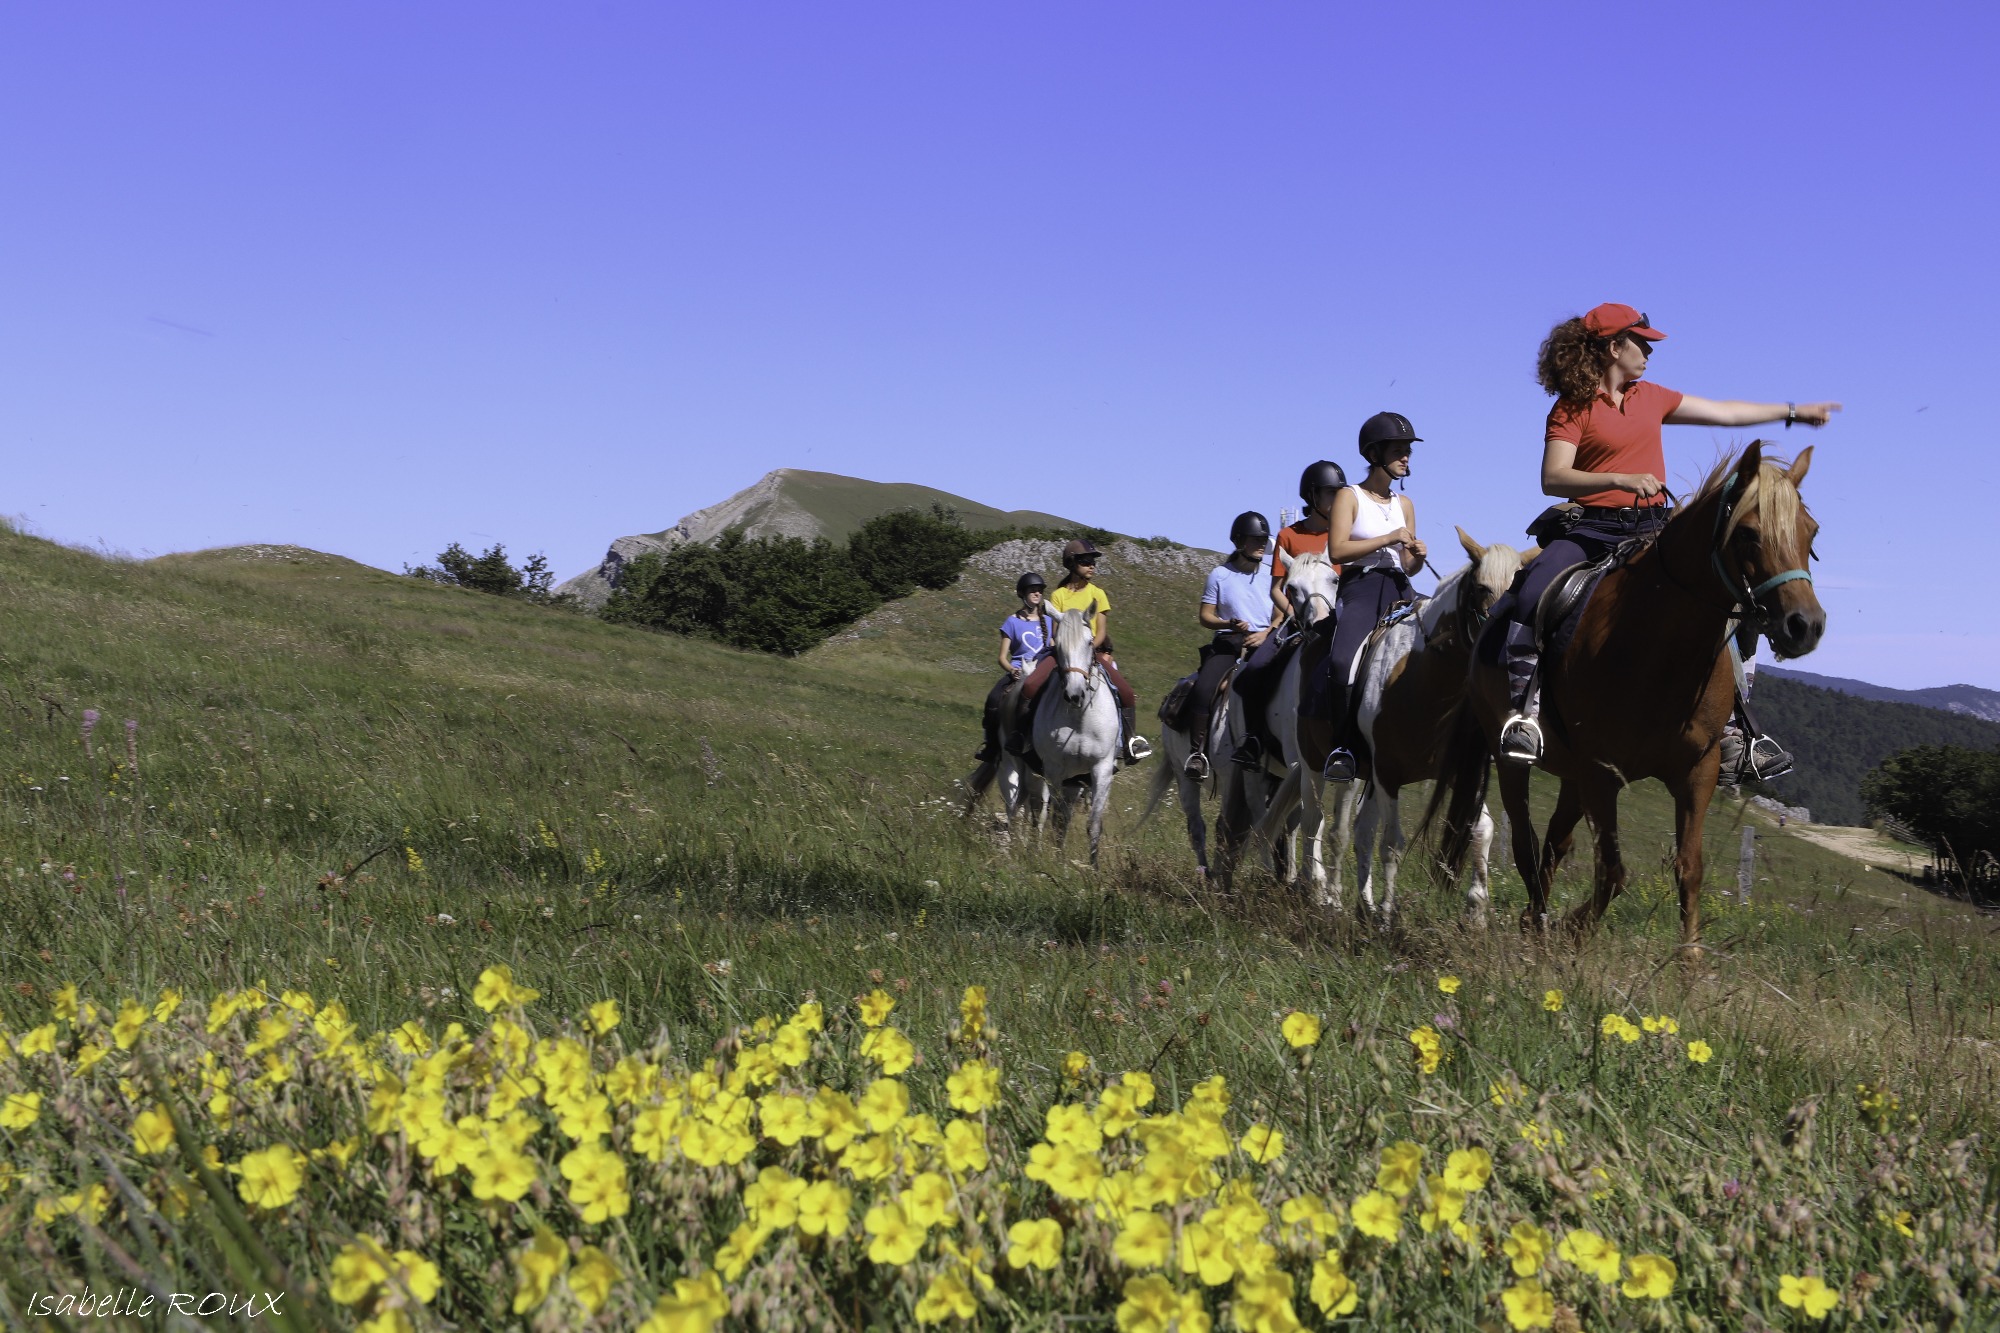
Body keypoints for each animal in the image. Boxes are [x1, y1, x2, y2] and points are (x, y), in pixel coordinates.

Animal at [1016, 608, 1128, 868]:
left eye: (1089, 642)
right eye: (1058, 646)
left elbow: (1093, 823)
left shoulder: (1101, 768)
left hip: (1075, 781)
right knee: (1034, 810)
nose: (1074, 694)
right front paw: (1053, 862)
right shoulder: (1053, 770)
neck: (1080, 717)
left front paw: (1094, 868)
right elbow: (1053, 819)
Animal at [1424, 438, 1832, 944]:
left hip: (1572, 776)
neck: (1659, 649)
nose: (1805, 626)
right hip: (1515, 763)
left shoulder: (1696, 772)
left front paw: (1690, 959)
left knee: (1554, 844)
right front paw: (1571, 928)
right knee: (1525, 842)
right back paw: (1538, 920)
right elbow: (1613, 873)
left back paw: (1534, 923)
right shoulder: (1602, 773)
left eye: (1810, 533)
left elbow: (1689, 869)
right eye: (1748, 534)